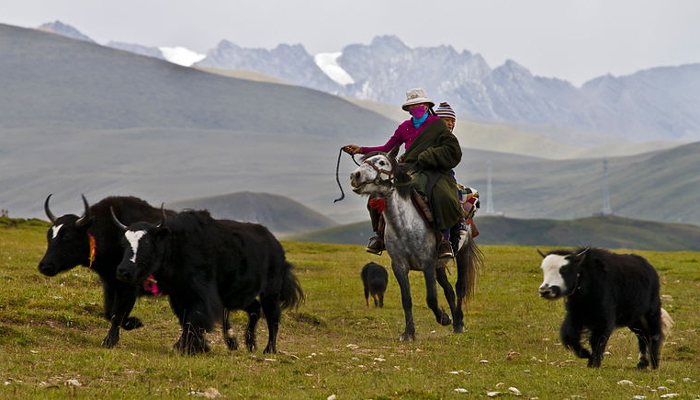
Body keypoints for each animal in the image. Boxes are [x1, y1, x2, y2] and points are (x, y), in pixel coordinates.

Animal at [350, 152, 482, 340]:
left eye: (382, 162)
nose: (355, 176)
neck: (404, 226)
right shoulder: (399, 266)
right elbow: (406, 299)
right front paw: (408, 333)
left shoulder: (427, 264)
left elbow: (431, 298)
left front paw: (443, 318)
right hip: (439, 266)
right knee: (449, 289)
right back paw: (455, 320)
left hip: (462, 252)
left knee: (459, 287)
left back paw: (458, 323)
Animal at [540, 247, 668, 368]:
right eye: (543, 269)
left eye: (564, 269)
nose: (545, 290)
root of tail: (650, 268)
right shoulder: (575, 315)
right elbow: (569, 336)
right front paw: (586, 354)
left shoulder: (605, 318)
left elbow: (598, 339)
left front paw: (593, 363)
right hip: (634, 318)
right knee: (642, 335)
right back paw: (641, 363)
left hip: (651, 312)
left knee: (655, 334)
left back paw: (654, 363)